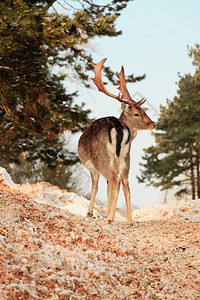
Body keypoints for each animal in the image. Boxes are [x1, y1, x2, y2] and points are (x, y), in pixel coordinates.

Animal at [77, 58, 155, 225]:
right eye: (138, 113)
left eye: (143, 111)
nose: (153, 123)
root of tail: (118, 127)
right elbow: (108, 191)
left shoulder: (94, 168)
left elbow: (95, 187)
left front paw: (90, 213)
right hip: (126, 158)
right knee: (125, 183)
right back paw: (129, 220)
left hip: (103, 159)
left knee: (115, 181)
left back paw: (110, 219)